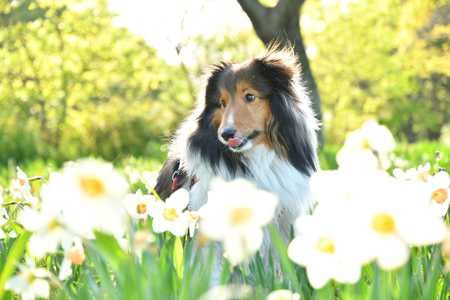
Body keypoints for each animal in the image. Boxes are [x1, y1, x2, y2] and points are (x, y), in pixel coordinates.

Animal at [155, 44, 320, 284]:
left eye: (250, 96)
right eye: (222, 103)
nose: (226, 134)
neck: (255, 159)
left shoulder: (281, 224)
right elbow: (211, 277)